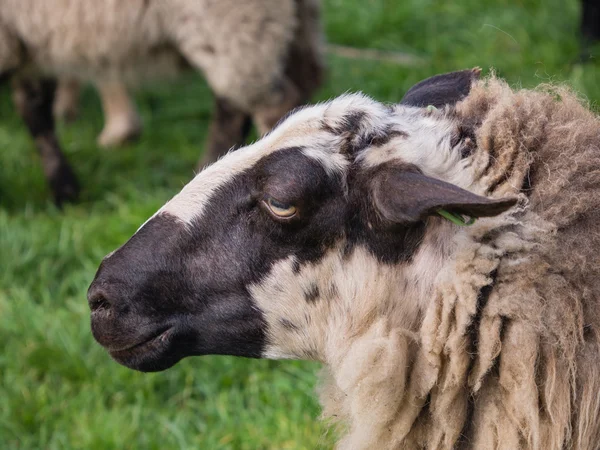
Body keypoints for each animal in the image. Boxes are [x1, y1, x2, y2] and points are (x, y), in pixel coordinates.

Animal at [0, 0, 324, 205]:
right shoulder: (30, 39)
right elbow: (34, 107)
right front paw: (64, 189)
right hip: (294, 23)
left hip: (236, 24)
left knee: (264, 105)